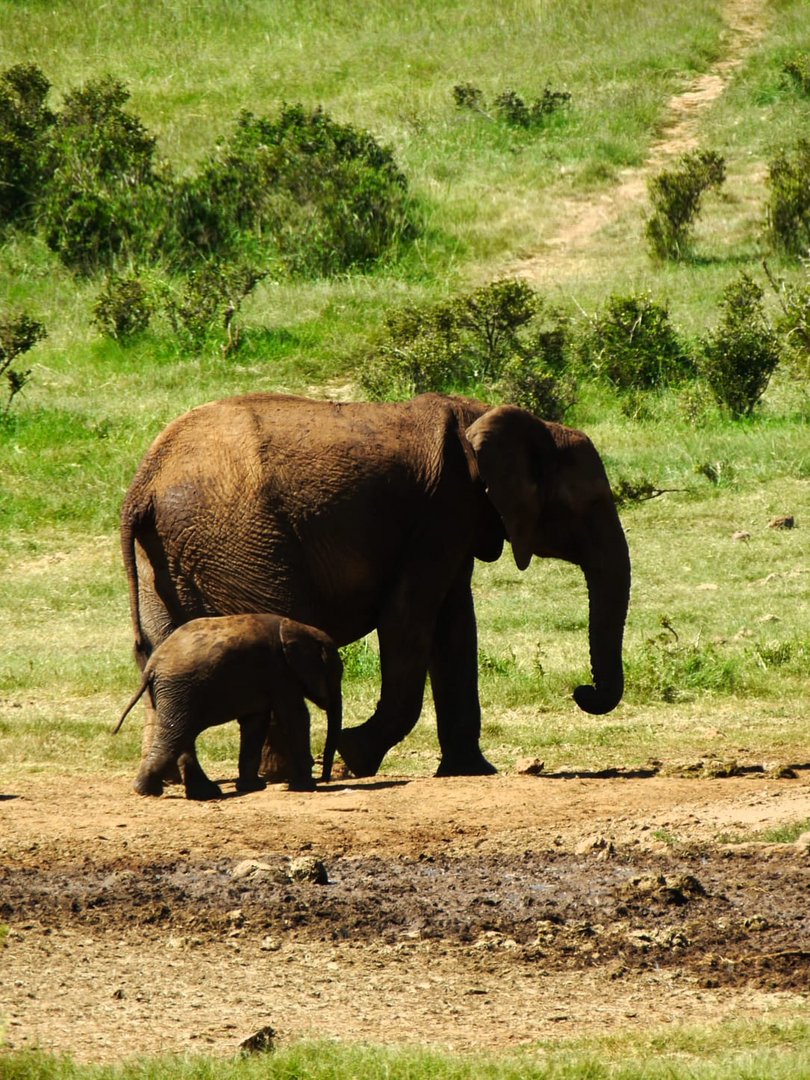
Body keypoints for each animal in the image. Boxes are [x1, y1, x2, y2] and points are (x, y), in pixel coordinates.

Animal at [115, 613, 343, 799]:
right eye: (336, 673)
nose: (325, 778)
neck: (298, 628)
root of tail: (152, 666)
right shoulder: (280, 673)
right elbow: (295, 717)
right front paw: (306, 787)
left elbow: (256, 722)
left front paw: (252, 787)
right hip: (179, 690)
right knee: (177, 734)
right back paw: (149, 791)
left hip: (173, 693)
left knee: (182, 735)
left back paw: (199, 793)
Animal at [120, 393, 630, 781]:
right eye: (589, 506)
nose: (582, 691)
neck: (486, 412)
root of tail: (143, 484)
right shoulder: (442, 512)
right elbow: (409, 619)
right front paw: (355, 756)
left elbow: (455, 627)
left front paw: (473, 771)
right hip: (240, 540)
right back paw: (281, 776)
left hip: (162, 557)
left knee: (162, 647)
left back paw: (180, 781)